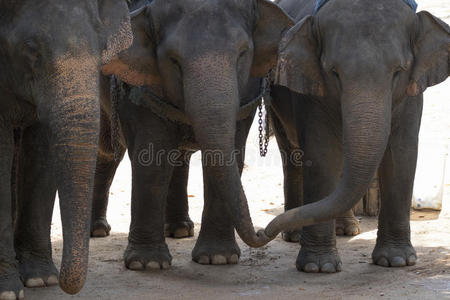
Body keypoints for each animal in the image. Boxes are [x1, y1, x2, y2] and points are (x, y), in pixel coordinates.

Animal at [0, 1, 133, 298]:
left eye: (102, 49)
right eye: (31, 48)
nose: (65, 283)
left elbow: (41, 150)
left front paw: (40, 280)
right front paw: (8, 290)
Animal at [100, 0, 294, 270]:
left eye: (243, 54)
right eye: (173, 60)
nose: (262, 231)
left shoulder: (247, 93)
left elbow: (230, 153)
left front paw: (218, 258)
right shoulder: (135, 85)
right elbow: (152, 157)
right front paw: (147, 264)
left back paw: (180, 229)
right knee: (106, 152)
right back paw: (97, 231)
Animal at [258, 0, 448, 274]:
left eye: (398, 71)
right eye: (333, 72)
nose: (261, 233)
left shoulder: (412, 93)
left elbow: (401, 154)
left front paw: (397, 261)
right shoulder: (311, 90)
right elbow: (322, 154)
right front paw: (319, 267)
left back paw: (347, 230)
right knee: (292, 157)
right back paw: (295, 235)